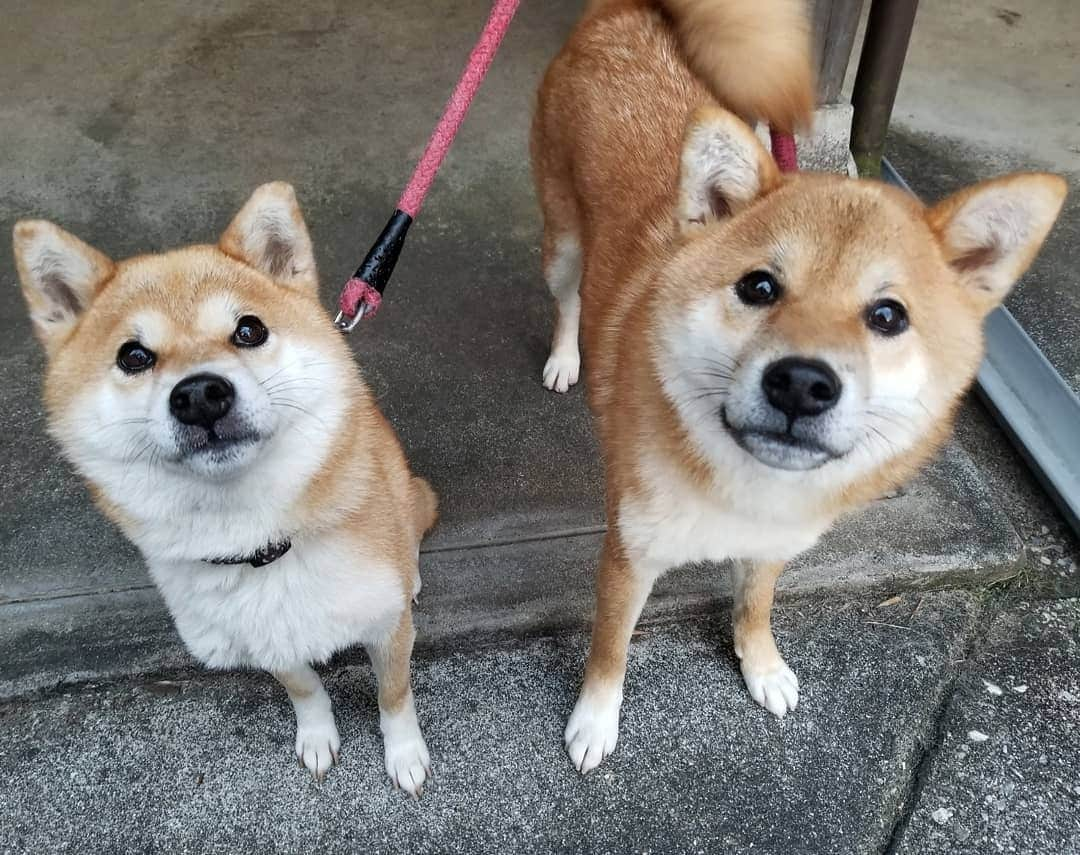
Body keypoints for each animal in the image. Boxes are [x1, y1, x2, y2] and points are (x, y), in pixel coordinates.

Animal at [14, 183, 436, 790]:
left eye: (249, 330)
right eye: (133, 356)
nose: (199, 395)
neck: (260, 542)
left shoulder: (387, 629)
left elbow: (394, 695)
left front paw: (404, 754)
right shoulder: (265, 636)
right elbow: (305, 690)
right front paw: (317, 736)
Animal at [531, 0, 1062, 772]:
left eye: (887, 316)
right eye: (759, 286)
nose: (803, 383)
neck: (747, 484)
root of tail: (623, 16)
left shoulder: (774, 543)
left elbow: (754, 606)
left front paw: (761, 665)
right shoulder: (630, 555)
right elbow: (610, 650)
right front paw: (595, 721)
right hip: (564, 241)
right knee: (570, 301)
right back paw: (568, 359)